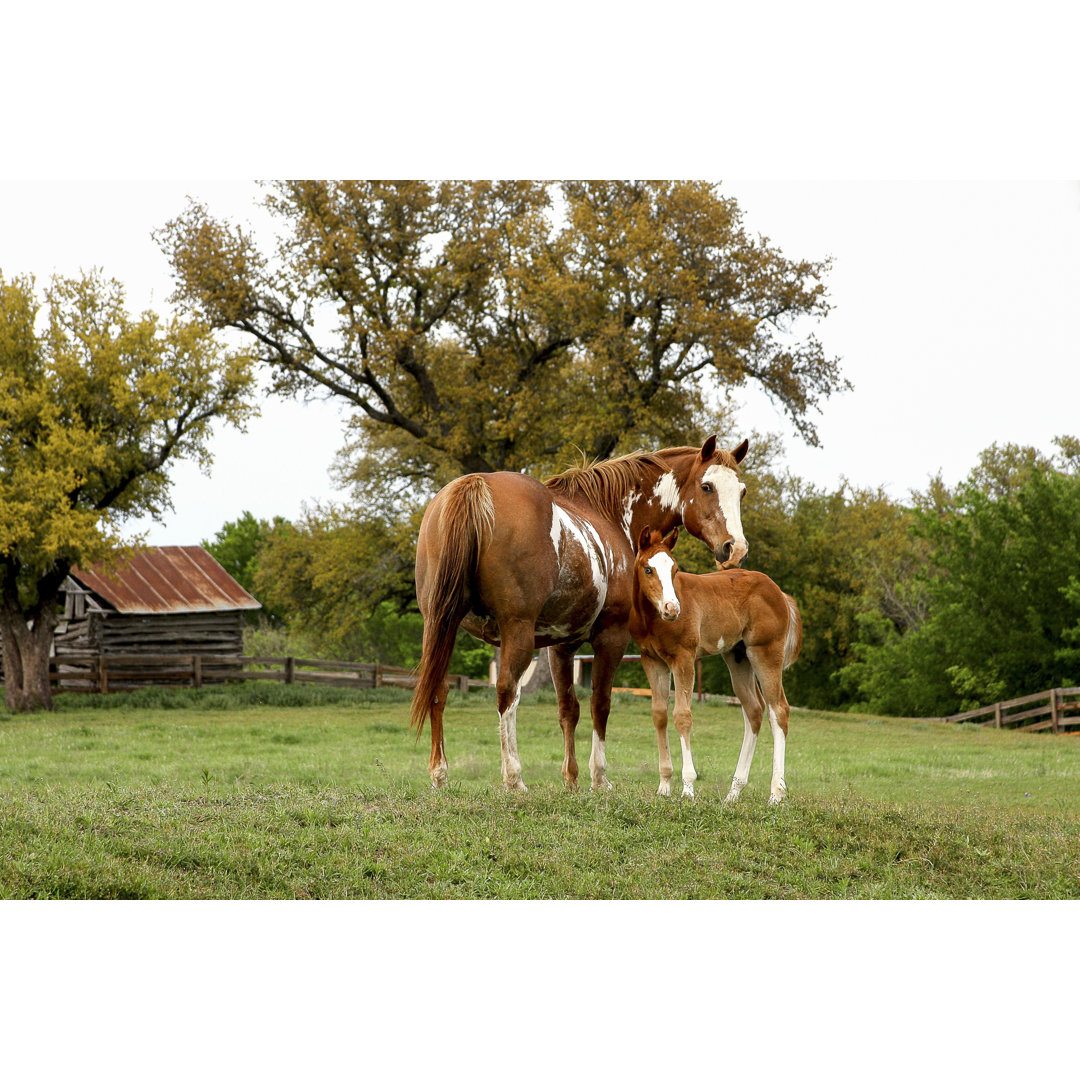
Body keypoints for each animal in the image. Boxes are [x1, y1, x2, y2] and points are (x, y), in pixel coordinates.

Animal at [412, 432, 751, 794]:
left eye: (741, 491)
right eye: (707, 486)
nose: (735, 548)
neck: (610, 513)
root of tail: (474, 485)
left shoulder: (560, 646)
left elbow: (568, 708)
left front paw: (571, 779)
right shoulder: (611, 637)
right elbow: (600, 703)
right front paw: (598, 777)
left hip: (440, 624)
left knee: (439, 688)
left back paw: (439, 773)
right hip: (515, 630)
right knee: (507, 691)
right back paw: (514, 777)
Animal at [626, 522, 803, 803]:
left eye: (675, 569)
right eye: (648, 569)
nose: (672, 609)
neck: (652, 619)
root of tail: (779, 592)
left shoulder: (684, 658)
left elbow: (682, 716)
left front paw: (688, 789)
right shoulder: (651, 661)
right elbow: (659, 715)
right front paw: (664, 786)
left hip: (765, 653)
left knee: (779, 710)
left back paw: (776, 793)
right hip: (738, 657)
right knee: (754, 710)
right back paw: (734, 792)